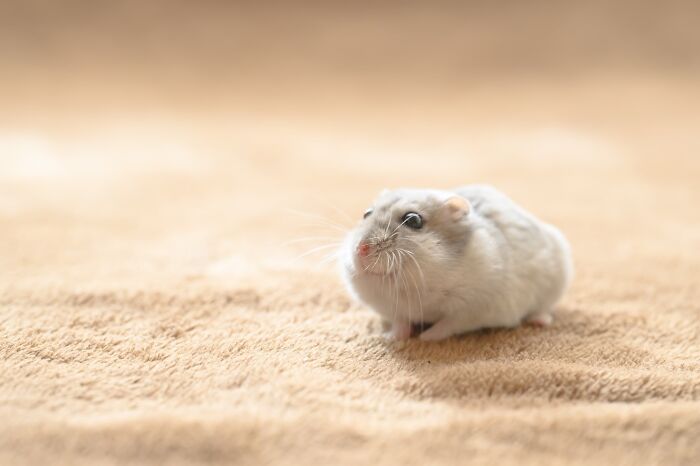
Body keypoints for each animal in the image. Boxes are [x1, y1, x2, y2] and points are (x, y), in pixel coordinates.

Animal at [340, 185, 573, 341]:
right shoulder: (395, 309)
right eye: (366, 214)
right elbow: (401, 323)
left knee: (544, 308)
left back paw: (540, 321)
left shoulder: (471, 309)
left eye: (413, 220)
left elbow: (446, 326)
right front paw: (391, 338)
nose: (361, 249)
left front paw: (424, 339)